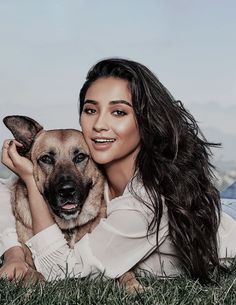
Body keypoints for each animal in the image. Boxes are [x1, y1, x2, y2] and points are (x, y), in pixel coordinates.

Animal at [2, 114, 141, 292]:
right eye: (46, 159)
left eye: (80, 157)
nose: (67, 190)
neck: (69, 227)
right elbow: (33, 272)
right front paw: (33, 284)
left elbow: (126, 272)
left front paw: (133, 286)